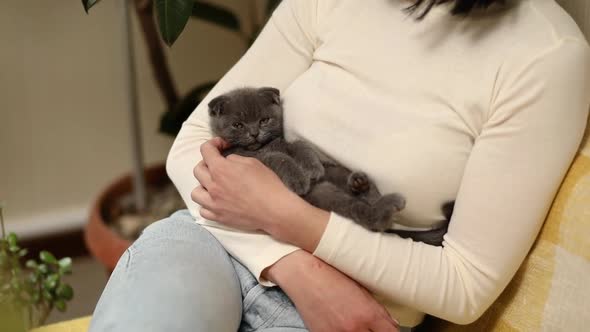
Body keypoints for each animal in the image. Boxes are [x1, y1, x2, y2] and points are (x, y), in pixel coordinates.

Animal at [208, 87, 454, 246]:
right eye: (238, 125)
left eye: (264, 120)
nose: (253, 133)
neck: (263, 146)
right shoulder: (246, 158)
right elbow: (278, 158)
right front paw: (299, 180)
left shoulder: (287, 143)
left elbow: (300, 145)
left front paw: (312, 169)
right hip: (324, 195)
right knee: (364, 215)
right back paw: (383, 206)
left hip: (335, 173)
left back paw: (360, 184)